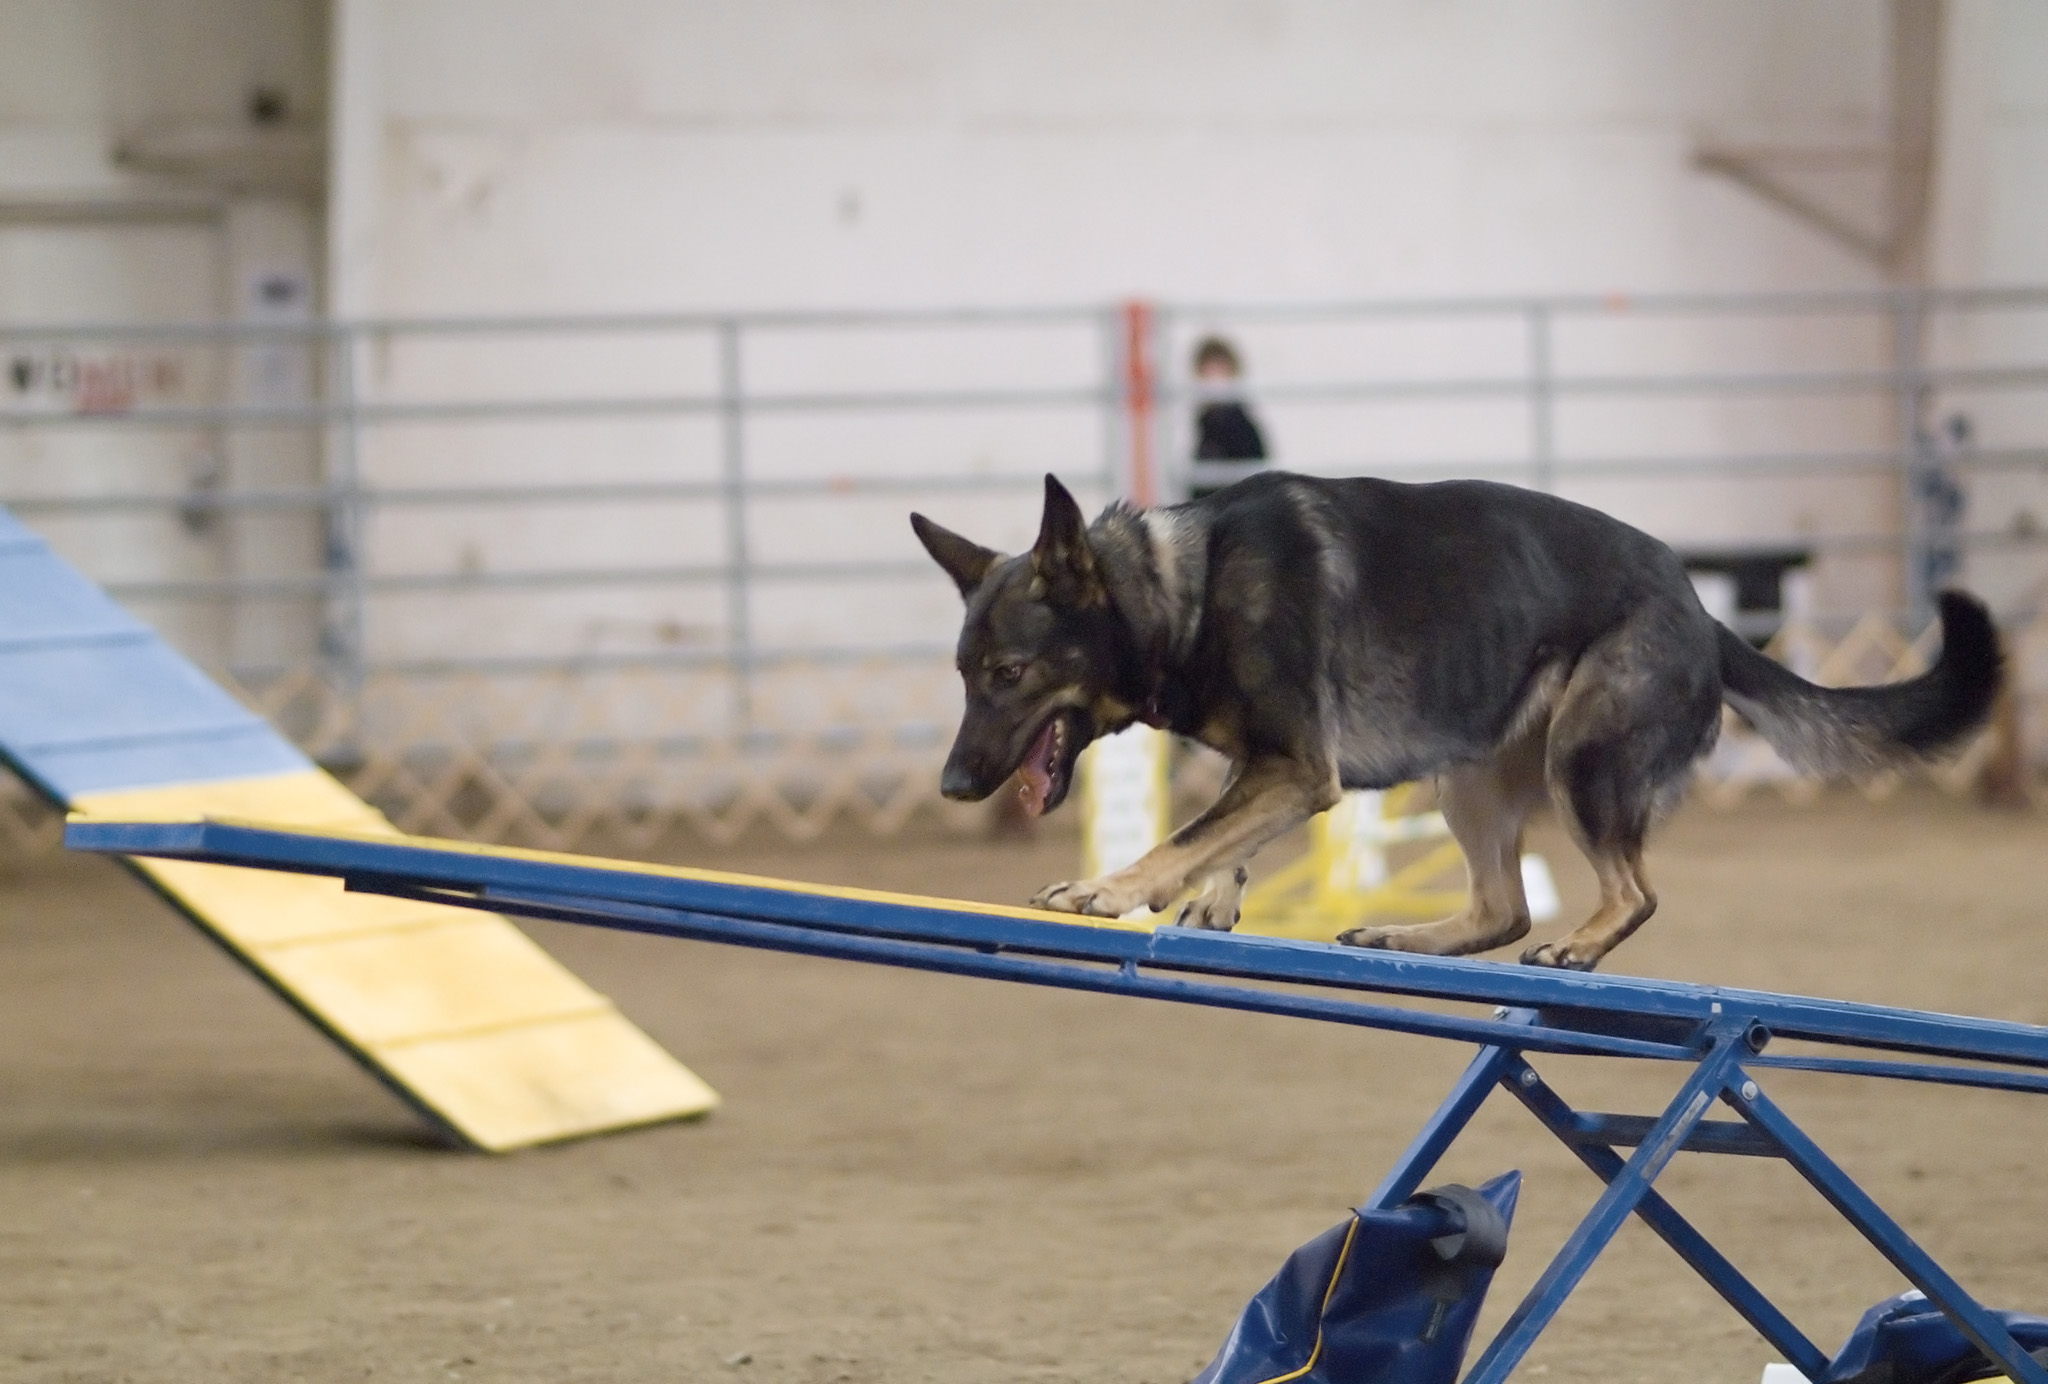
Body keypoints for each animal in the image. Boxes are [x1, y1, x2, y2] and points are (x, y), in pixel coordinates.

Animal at [913, 470, 1998, 966]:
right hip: (1469, 781)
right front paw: (1213, 896)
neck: (1188, 589)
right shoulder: (1277, 765)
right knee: (1500, 905)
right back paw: (1410, 935)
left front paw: (1108, 887)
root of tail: (1702, 610)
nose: (953, 788)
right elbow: (1220, 828)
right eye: (964, 674)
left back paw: (1578, 944)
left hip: (1582, 758)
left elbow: (1185, 833)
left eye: (1008, 673)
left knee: (1630, 891)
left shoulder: (1298, 767)